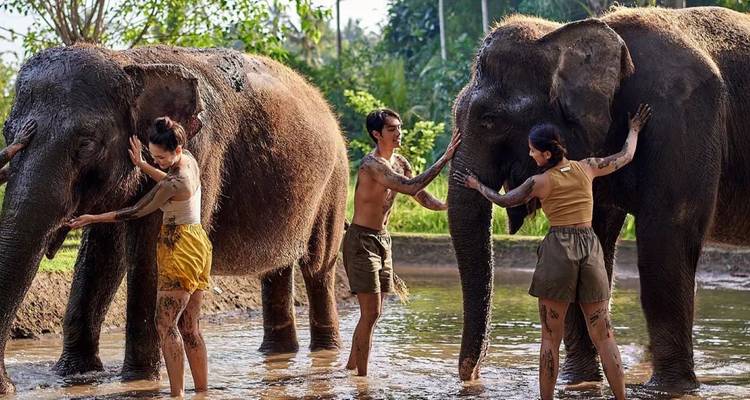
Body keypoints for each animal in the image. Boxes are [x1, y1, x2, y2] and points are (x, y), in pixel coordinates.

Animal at [0, 44, 348, 393]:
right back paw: (277, 353)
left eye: (86, 143)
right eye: (7, 132)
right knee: (276, 270)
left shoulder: (202, 153)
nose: (8, 385)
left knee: (318, 267)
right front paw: (75, 375)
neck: (129, 62)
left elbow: (151, 248)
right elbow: (101, 256)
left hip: (335, 182)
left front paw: (138, 379)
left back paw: (325, 352)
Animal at [448, 6, 750, 392]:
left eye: (489, 120)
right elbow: (595, 236)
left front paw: (667, 389)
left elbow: (668, 233)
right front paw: (579, 383)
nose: (472, 378)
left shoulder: (681, 117)